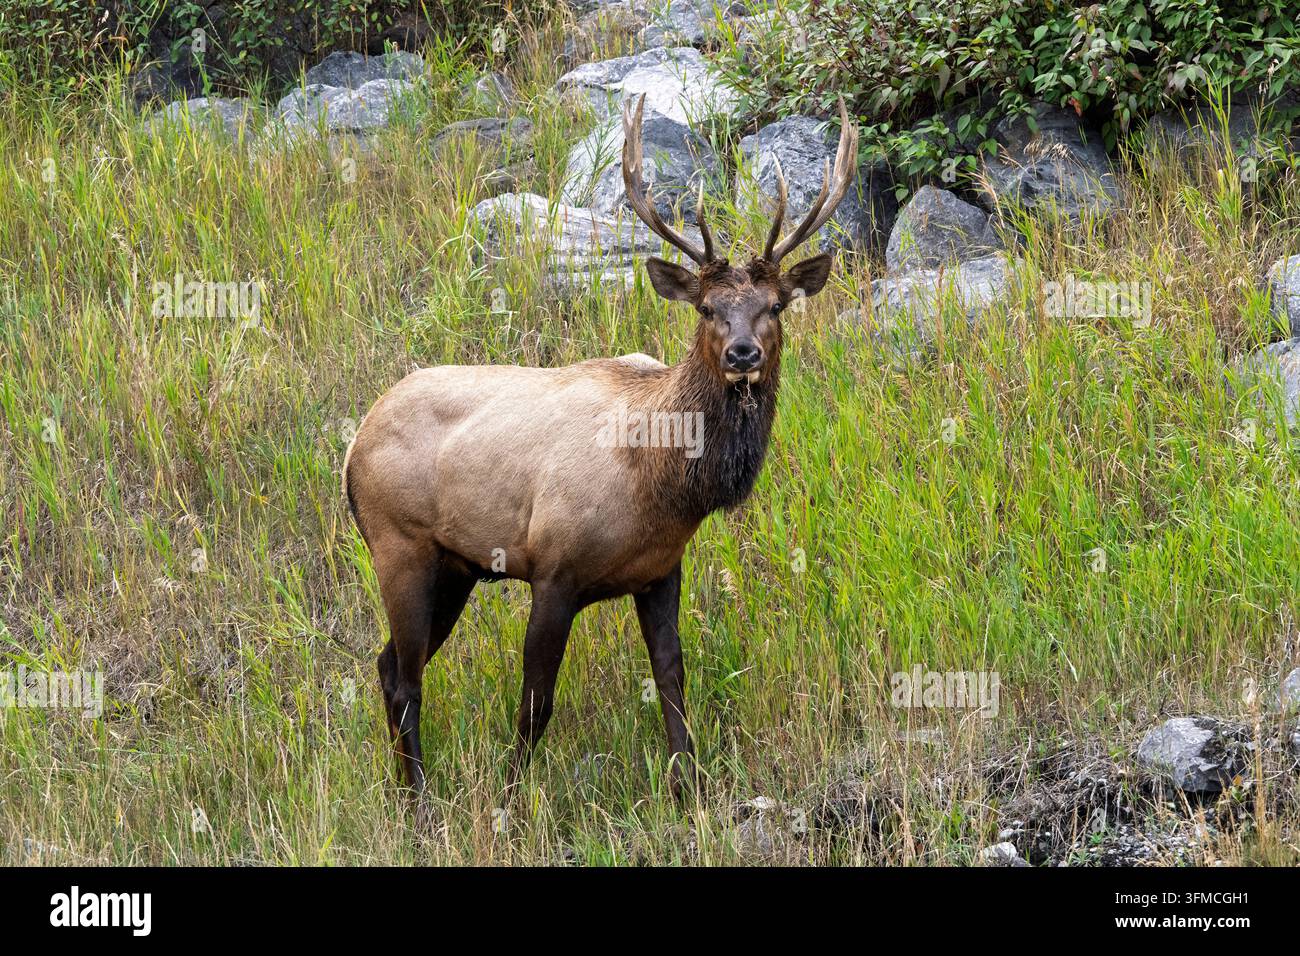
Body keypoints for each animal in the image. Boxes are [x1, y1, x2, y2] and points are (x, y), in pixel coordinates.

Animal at [343, 93, 858, 800]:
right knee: (405, 676)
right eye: (706, 308)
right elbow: (536, 703)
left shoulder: (661, 571)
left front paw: (688, 787)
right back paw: (419, 798)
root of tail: (351, 449)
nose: (742, 353)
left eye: (776, 305)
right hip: (399, 545)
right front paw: (513, 797)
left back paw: (409, 787)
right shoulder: (553, 568)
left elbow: (671, 678)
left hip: (456, 566)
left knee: (388, 663)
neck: (661, 485)